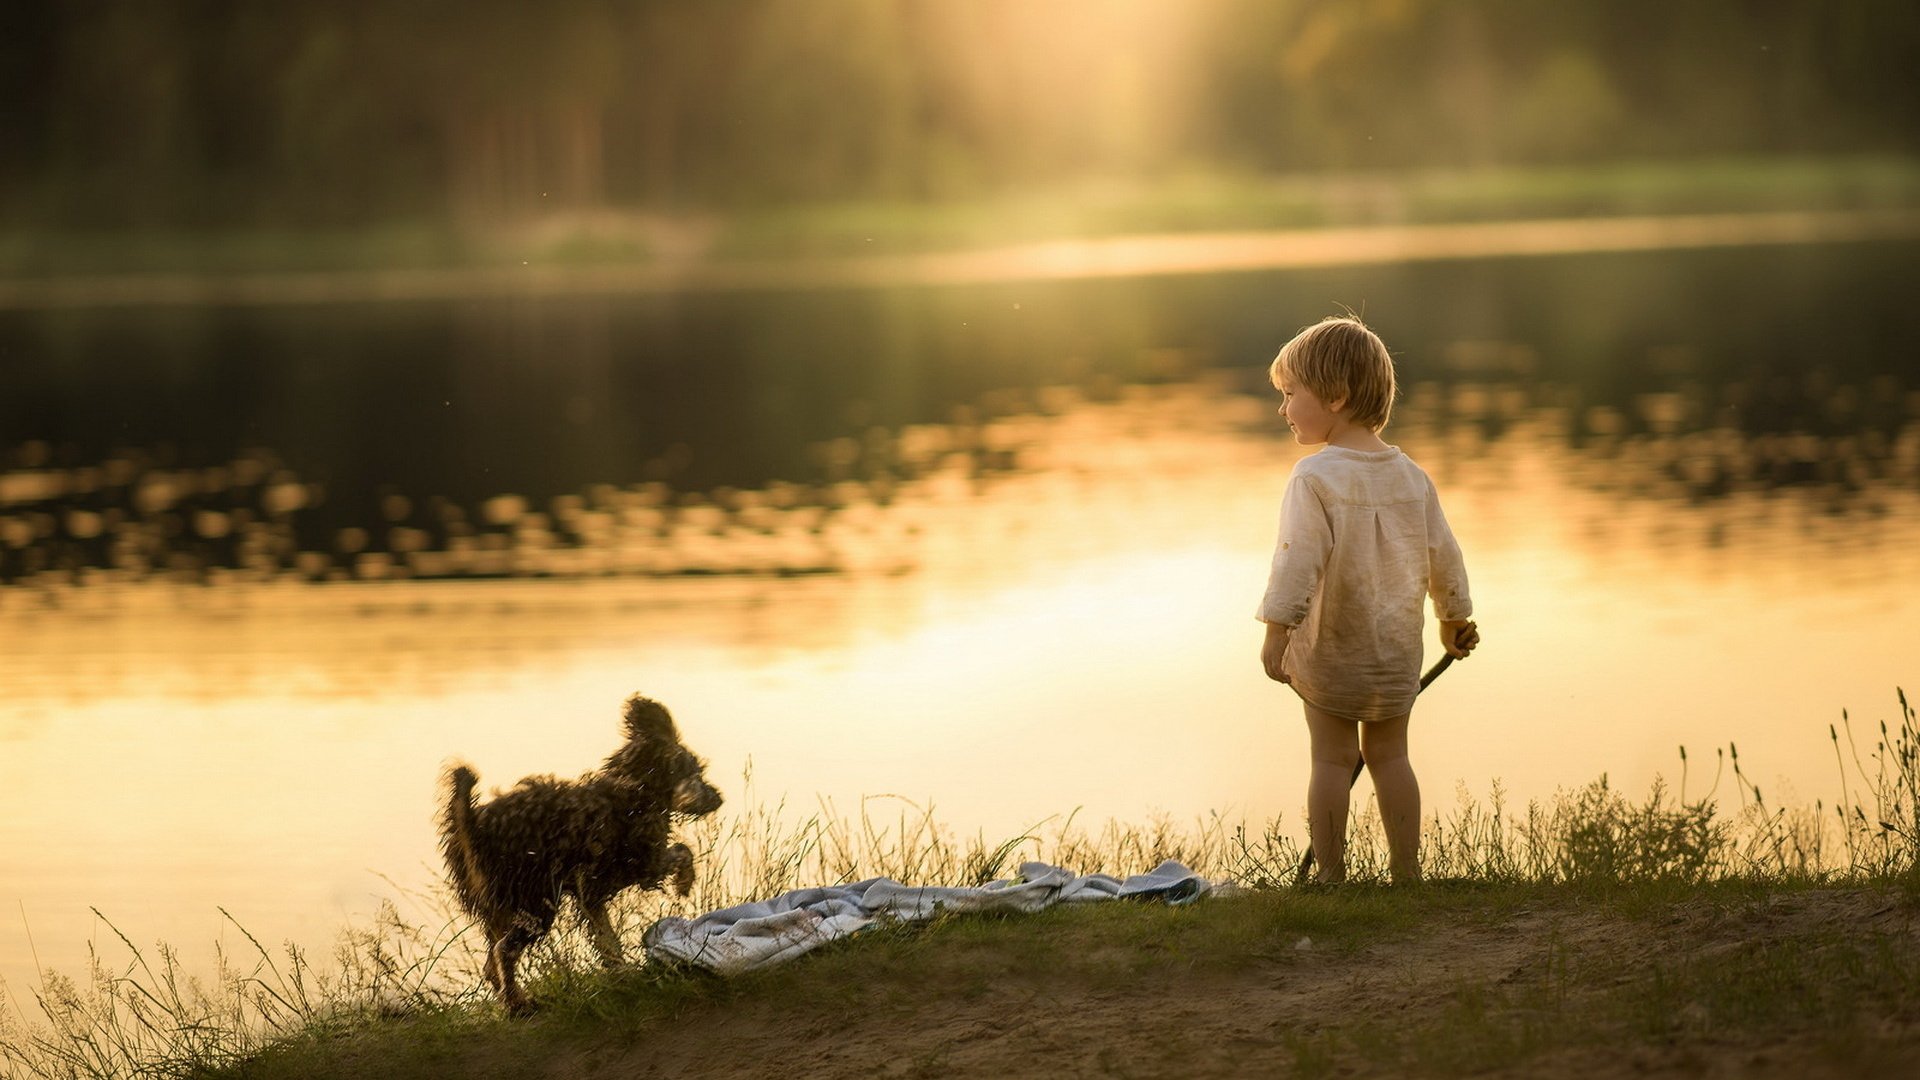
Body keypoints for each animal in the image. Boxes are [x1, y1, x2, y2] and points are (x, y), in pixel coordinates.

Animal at [439, 687, 721, 1006]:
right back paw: (517, 1004)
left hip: (500, 909)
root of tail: (472, 826)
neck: (635, 787)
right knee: (504, 950)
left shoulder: (591, 895)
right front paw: (684, 882)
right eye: (696, 773)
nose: (718, 798)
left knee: (490, 961)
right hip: (537, 903)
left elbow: (606, 939)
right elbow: (683, 851)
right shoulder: (644, 863)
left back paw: (510, 998)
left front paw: (622, 973)